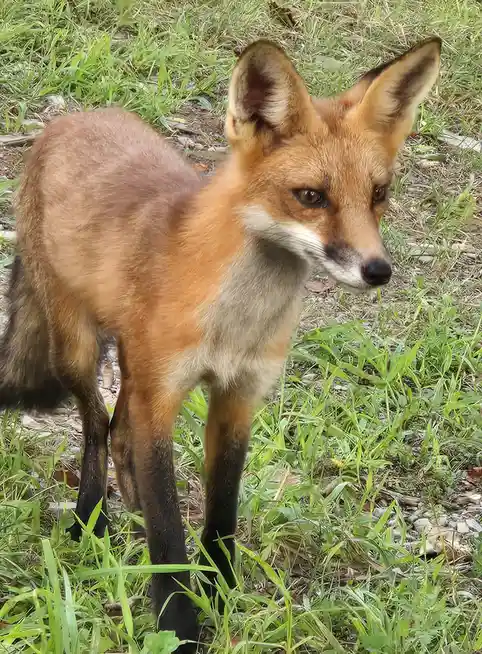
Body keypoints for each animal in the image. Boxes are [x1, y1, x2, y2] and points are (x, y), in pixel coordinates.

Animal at [0, 38, 440, 650]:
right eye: (311, 197)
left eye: (379, 194)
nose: (378, 270)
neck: (236, 325)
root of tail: (73, 119)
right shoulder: (162, 398)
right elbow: (168, 529)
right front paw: (179, 623)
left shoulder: (238, 396)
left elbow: (222, 513)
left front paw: (224, 594)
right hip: (78, 351)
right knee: (96, 426)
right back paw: (91, 518)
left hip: (133, 362)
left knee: (118, 428)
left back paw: (123, 499)